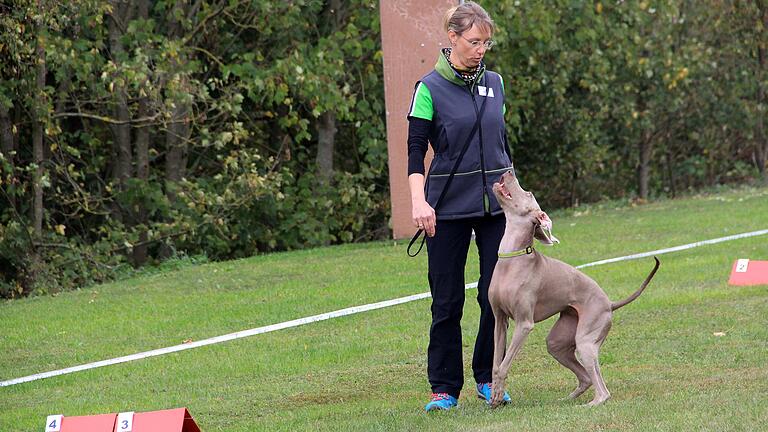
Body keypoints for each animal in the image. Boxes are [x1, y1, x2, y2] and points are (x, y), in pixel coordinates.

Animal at [486, 170, 660, 406]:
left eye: (528, 193)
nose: (508, 171)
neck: (513, 258)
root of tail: (610, 303)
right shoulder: (499, 320)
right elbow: (496, 364)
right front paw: (495, 395)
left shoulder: (524, 324)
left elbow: (504, 365)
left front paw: (497, 394)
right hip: (558, 340)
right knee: (585, 377)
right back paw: (567, 399)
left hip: (586, 340)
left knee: (602, 389)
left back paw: (590, 404)